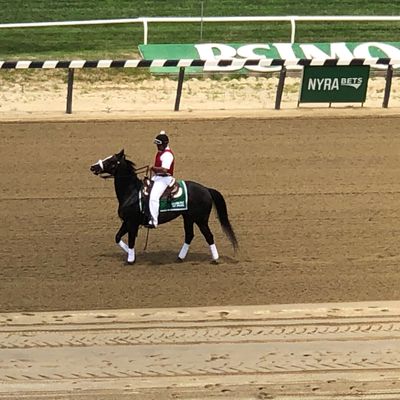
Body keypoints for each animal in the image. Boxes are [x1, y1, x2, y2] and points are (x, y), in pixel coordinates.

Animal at [90, 149, 238, 264]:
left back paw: (215, 259)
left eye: (111, 161)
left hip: (200, 219)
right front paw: (132, 255)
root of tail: (206, 189)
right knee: (189, 235)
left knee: (209, 236)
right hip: (188, 218)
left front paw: (130, 259)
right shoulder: (126, 222)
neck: (132, 192)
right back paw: (180, 258)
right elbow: (117, 237)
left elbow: (131, 240)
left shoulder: (132, 222)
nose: (93, 167)